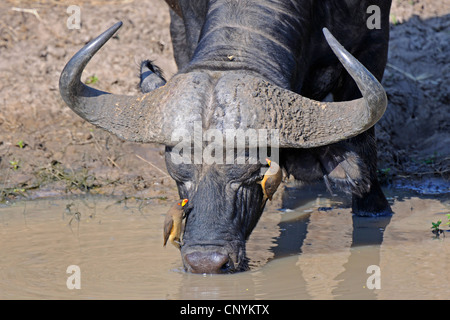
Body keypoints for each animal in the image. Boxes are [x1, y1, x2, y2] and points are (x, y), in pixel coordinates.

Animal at [60, 0, 394, 274]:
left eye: (252, 174)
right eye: (178, 175)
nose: (205, 262)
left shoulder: (373, 42)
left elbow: (364, 142)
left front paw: (373, 207)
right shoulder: (182, 26)